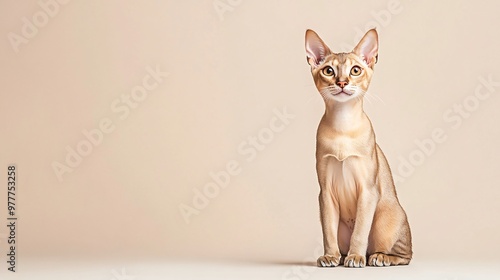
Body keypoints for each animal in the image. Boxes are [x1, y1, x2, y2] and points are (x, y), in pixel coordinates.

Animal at [306, 28, 412, 266]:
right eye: (328, 70)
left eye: (355, 70)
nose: (342, 82)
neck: (343, 125)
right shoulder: (325, 192)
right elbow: (328, 231)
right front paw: (331, 256)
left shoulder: (368, 190)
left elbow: (361, 231)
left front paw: (356, 256)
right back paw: (344, 256)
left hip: (385, 217)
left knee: (404, 255)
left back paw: (379, 257)